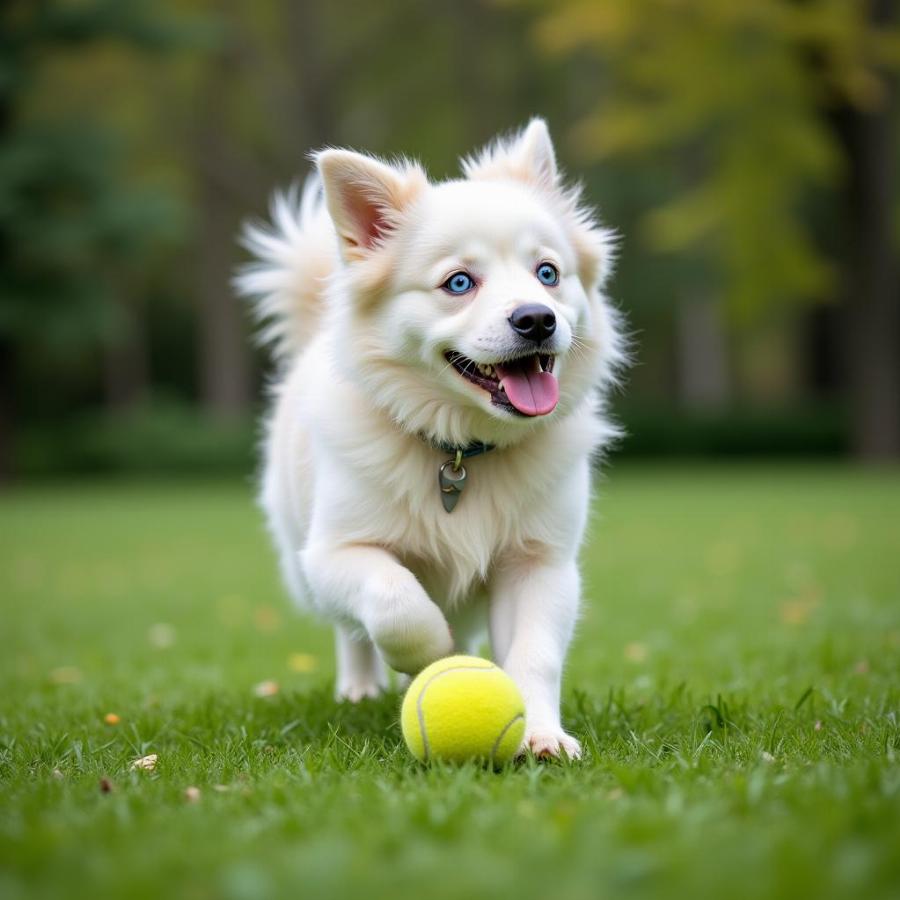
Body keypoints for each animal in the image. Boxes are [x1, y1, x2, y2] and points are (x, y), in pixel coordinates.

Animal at [236, 116, 624, 756]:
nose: (538, 318)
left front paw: (541, 735)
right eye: (459, 282)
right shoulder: (334, 552)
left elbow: (535, 655)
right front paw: (428, 655)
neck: (461, 450)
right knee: (352, 633)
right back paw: (362, 688)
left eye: (547, 274)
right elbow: (395, 601)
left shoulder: (539, 563)